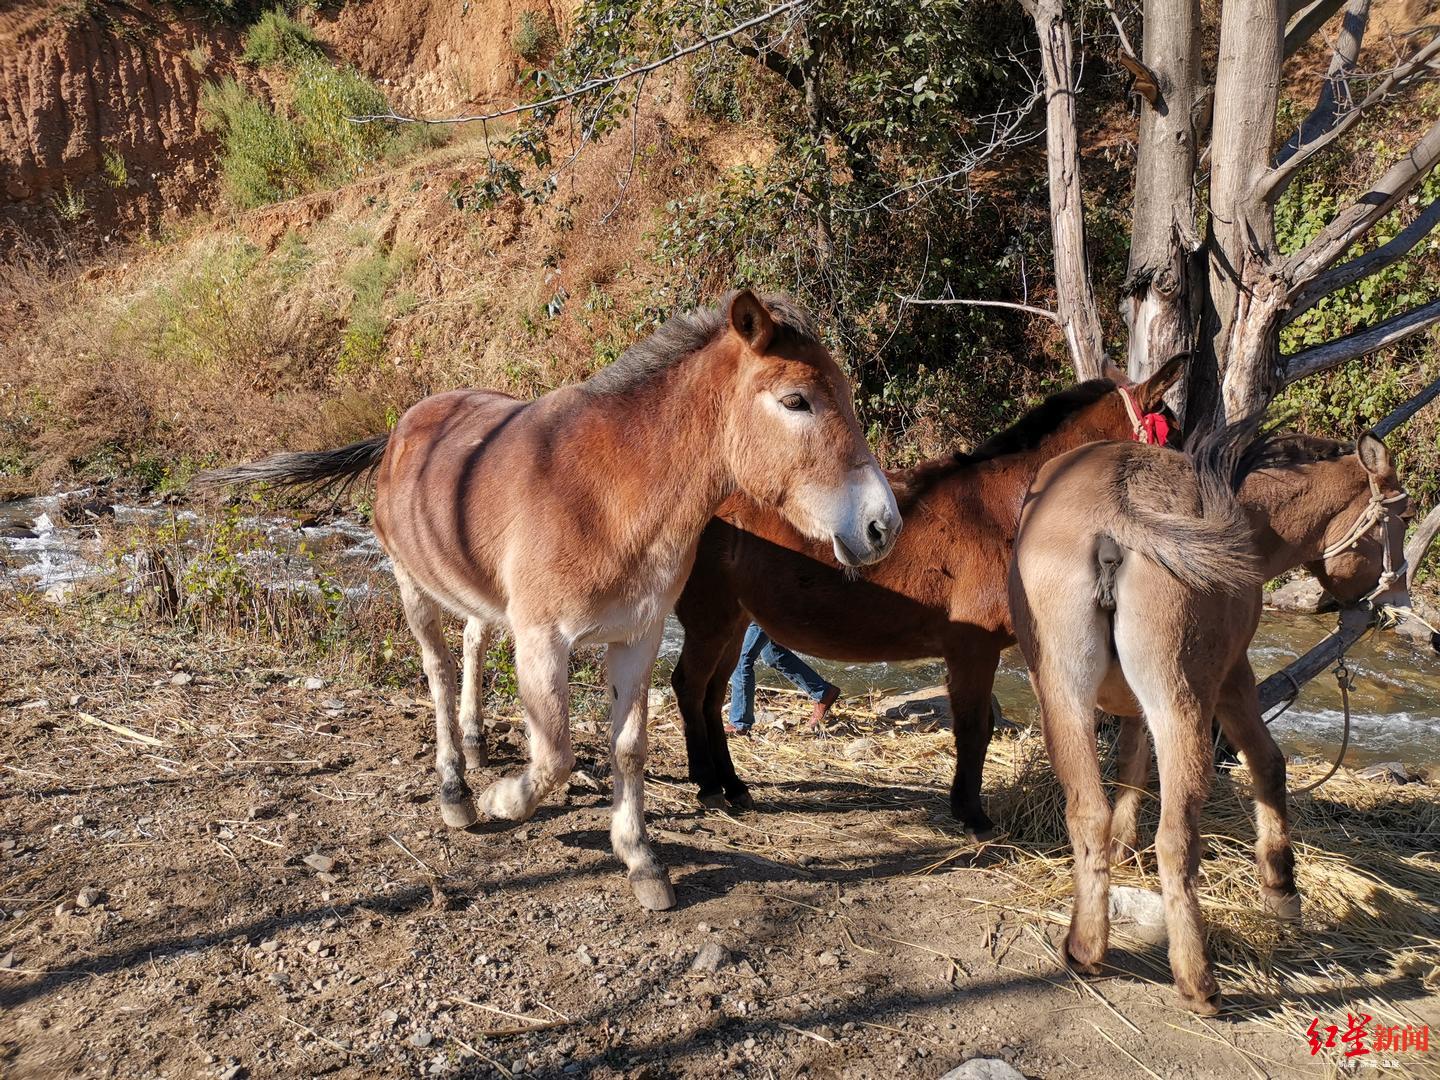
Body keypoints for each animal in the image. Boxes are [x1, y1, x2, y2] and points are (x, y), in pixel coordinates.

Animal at [203, 289, 898, 915]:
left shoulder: (637, 638)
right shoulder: (544, 640)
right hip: (412, 586)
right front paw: (500, 801)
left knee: (472, 644)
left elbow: (628, 748)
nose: (881, 526)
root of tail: (403, 425)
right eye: (796, 401)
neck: (608, 492)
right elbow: (556, 754)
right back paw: (457, 788)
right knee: (438, 672)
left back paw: (477, 743)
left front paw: (640, 859)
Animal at [668, 357, 1186, 835]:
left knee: (711, 695)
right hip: (709, 618)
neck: (1005, 510)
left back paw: (733, 785)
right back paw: (709, 785)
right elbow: (974, 729)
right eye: (1173, 435)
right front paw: (973, 816)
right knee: (690, 687)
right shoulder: (972, 648)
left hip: (733, 620)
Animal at [1013, 426, 1405, 1013]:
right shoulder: (1234, 680)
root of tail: (1118, 513)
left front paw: (1123, 846)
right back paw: (1197, 978)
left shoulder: (1133, 708)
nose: (1391, 599)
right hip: (1183, 703)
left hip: (1063, 696)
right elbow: (1269, 764)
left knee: (1087, 813)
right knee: (1177, 836)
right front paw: (1281, 890)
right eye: (1401, 519)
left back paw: (1086, 946)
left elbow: (1131, 767)